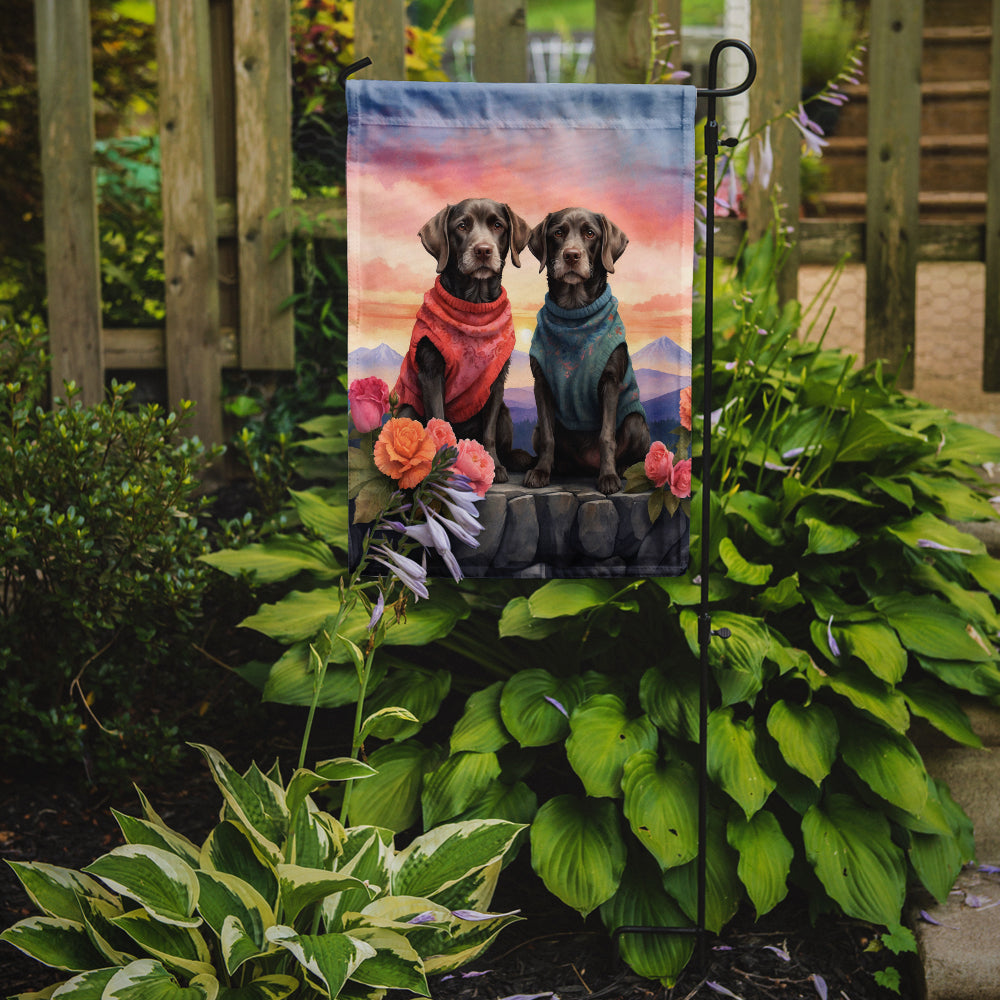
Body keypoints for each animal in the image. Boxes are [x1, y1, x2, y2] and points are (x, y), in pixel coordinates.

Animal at [392, 197, 536, 482]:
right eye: (461, 226)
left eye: (497, 225)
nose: (483, 251)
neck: (474, 305)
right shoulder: (431, 372)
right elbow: (438, 421)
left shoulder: (495, 380)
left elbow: (488, 432)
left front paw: (494, 466)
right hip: (407, 410)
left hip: (505, 413)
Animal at [520, 207, 652, 496]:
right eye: (558, 233)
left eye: (590, 233)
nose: (571, 255)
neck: (574, 311)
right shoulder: (541, 383)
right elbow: (548, 437)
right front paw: (541, 472)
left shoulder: (610, 382)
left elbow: (606, 436)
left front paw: (609, 477)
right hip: (536, 429)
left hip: (635, 422)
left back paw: (621, 469)